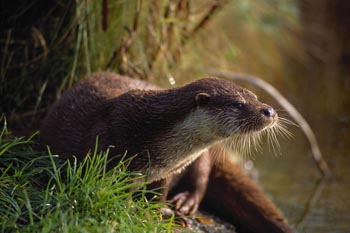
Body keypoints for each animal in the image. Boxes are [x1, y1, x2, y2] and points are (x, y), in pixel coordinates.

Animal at [40, 72, 292, 232]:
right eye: (238, 104)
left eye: (255, 97)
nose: (269, 110)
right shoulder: (108, 143)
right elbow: (107, 185)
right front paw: (139, 209)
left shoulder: (166, 171)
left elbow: (159, 190)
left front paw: (160, 209)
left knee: (202, 174)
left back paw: (187, 200)